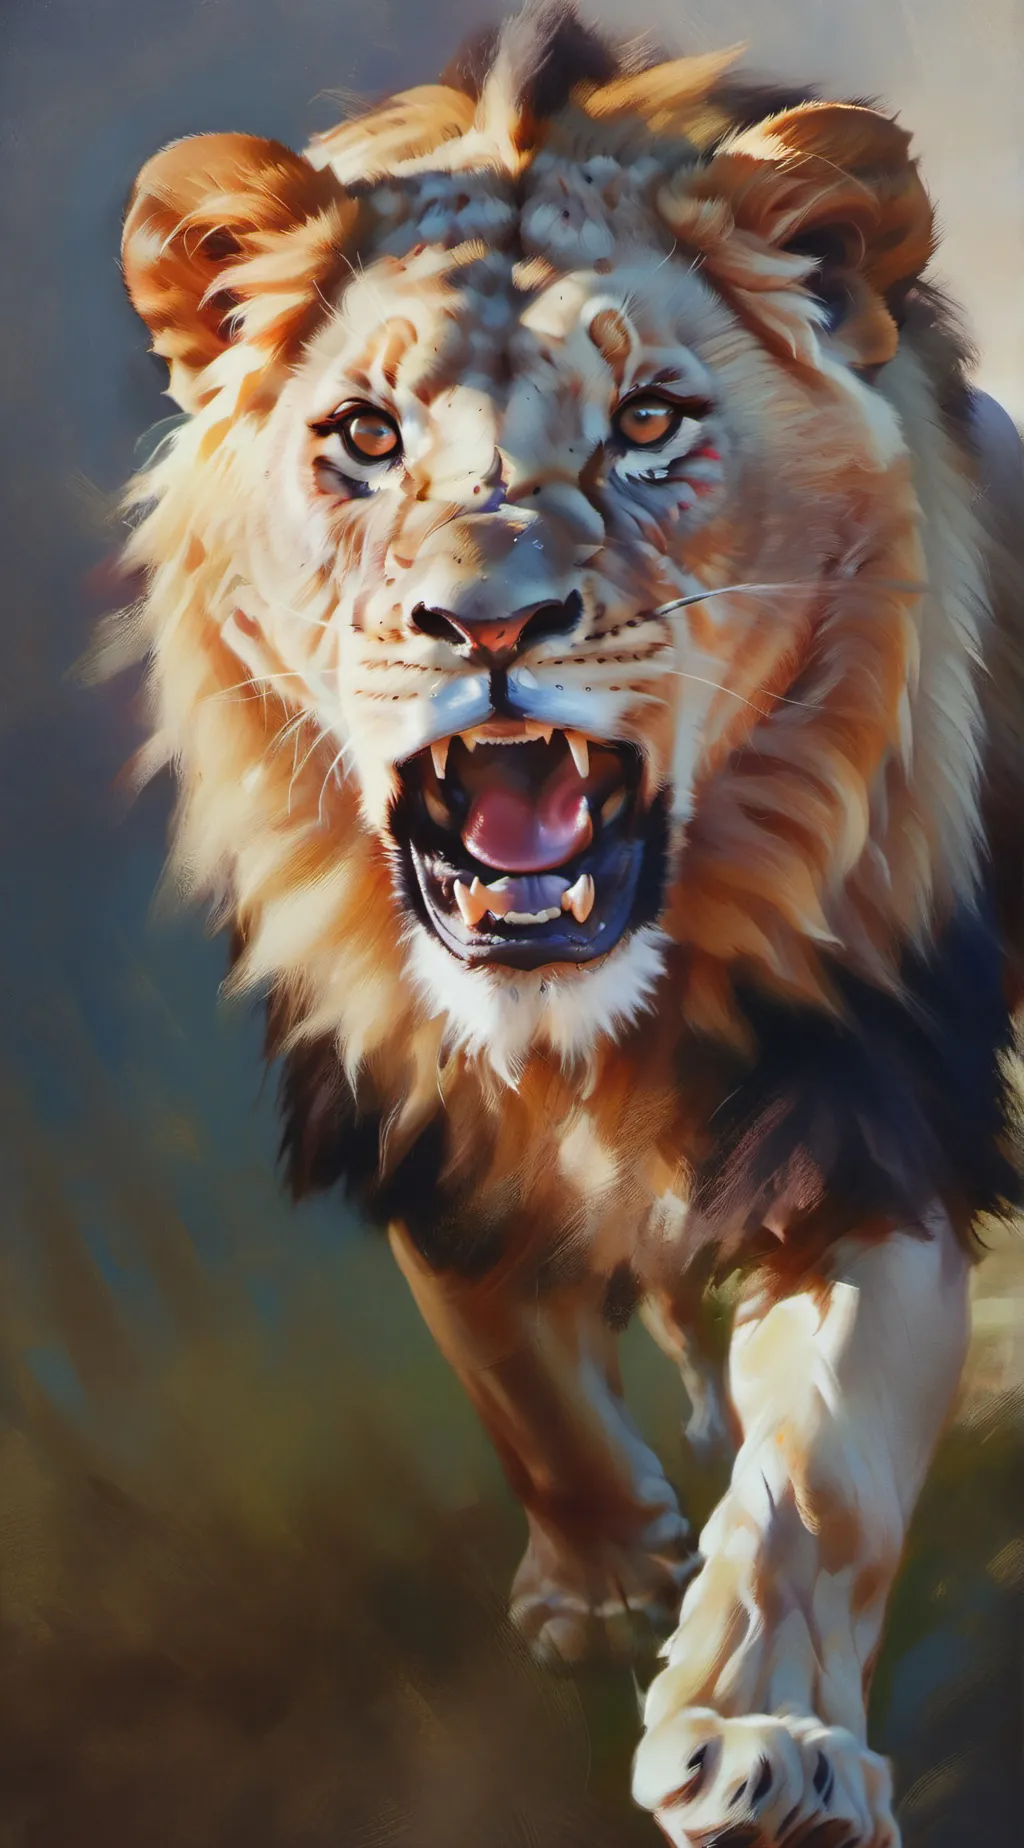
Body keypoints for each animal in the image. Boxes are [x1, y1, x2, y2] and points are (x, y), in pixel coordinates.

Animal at [106, 3, 1024, 1841]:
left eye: (650, 422)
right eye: (363, 437)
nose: (483, 622)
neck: (581, 1020)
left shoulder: (868, 1115)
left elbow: (814, 1476)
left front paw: (759, 1739)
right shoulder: (403, 1108)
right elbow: (511, 1374)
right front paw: (600, 1582)